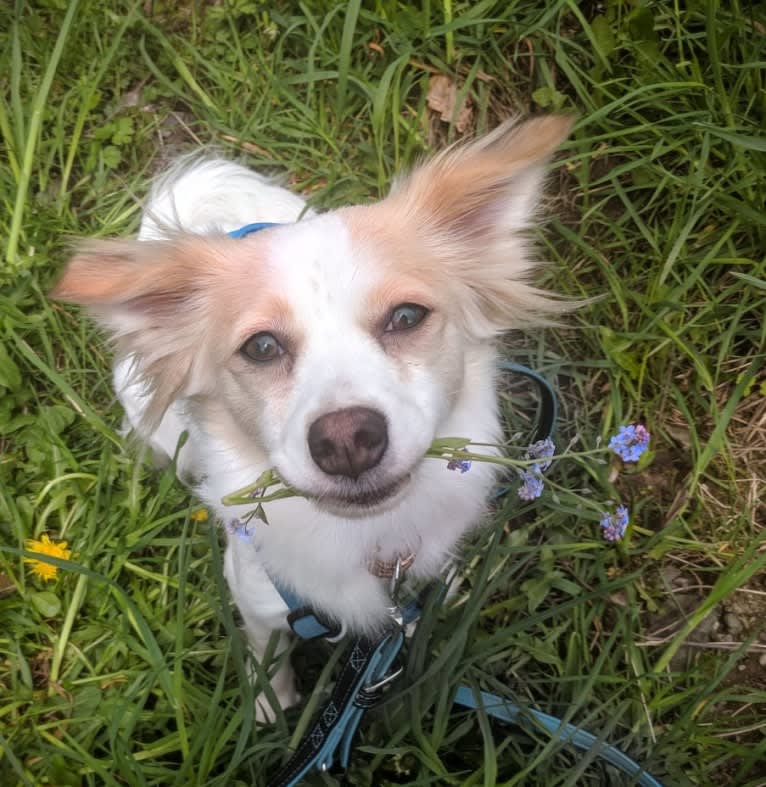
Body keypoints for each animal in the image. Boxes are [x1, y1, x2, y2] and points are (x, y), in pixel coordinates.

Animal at [54, 114, 576, 724]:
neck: (368, 542)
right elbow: (268, 657)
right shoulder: (255, 600)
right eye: (260, 347)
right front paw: (273, 710)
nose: (347, 440)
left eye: (406, 316)